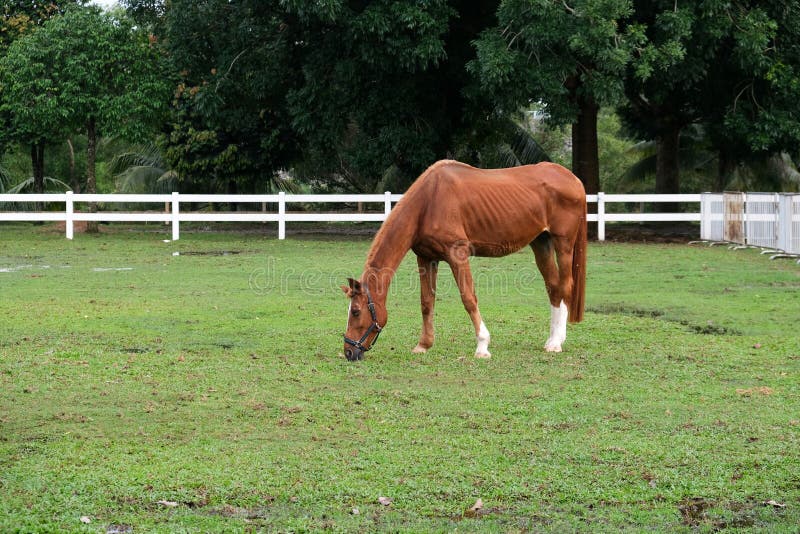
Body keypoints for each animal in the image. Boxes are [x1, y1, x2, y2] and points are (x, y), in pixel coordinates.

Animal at [341, 160, 587, 361]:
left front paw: (483, 346)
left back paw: (557, 343)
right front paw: (423, 345)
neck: (429, 201)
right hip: (541, 243)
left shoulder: (457, 255)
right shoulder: (426, 258)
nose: (349, 351)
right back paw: (551, 340)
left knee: (565, 286)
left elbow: (468, 298)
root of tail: (574, 180)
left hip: (563, 243)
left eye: (356, 312)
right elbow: (426, 302)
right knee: (553, 288)